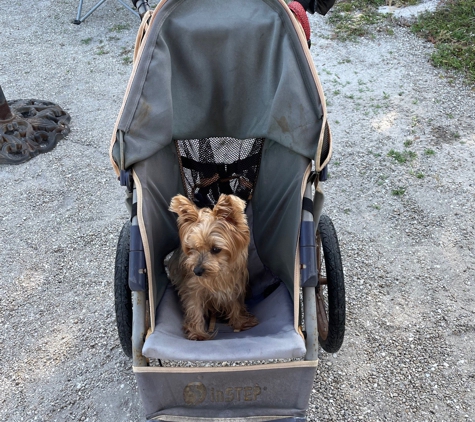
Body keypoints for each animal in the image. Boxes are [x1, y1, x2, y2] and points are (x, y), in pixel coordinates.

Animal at [168, 194, 258, 340]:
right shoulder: (193, 289)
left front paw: (240, 322)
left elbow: (236, 304)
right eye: (192, 249)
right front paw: (197, 333)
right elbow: (194, 308)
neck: (217, 274)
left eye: (216, 249)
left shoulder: (234, 286)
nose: (197, 271)